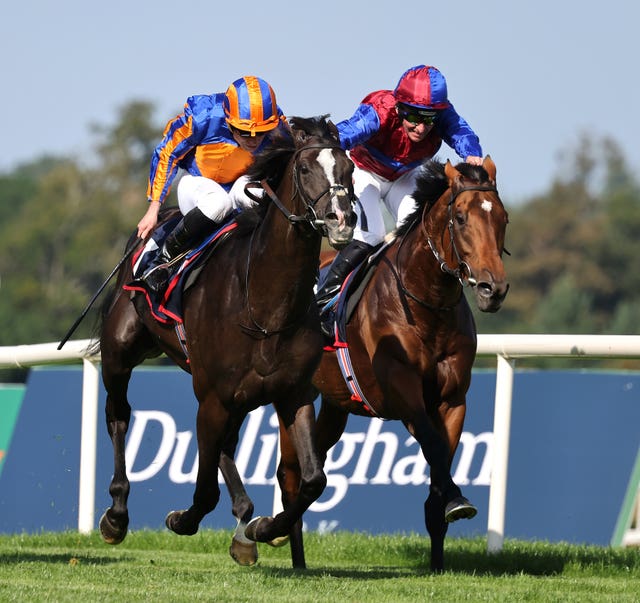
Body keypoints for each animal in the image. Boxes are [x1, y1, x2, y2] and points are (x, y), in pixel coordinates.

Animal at [96, 117, 356, 552]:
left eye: (349, 168)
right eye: (305, 169)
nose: (342, 219)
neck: (266, 304)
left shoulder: (293, 393)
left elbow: (313, 481)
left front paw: (265, 528)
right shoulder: (213, 395)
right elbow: (204, 491)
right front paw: (182, 519)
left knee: (225, 445)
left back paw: (245, 518)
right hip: (121, 351)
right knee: (119, 415)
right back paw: (116, 513)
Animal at [222, 156, 508, 572]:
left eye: (502, 218)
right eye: (459, 217)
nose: (493, 288)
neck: (425, 303)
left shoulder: (453, 400)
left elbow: (440, 464)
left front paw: (441, 545)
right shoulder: (405, 396)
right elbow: (434, 447)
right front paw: (458, 500)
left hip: (335, 406)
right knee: (289, 473)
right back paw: (281, 542)